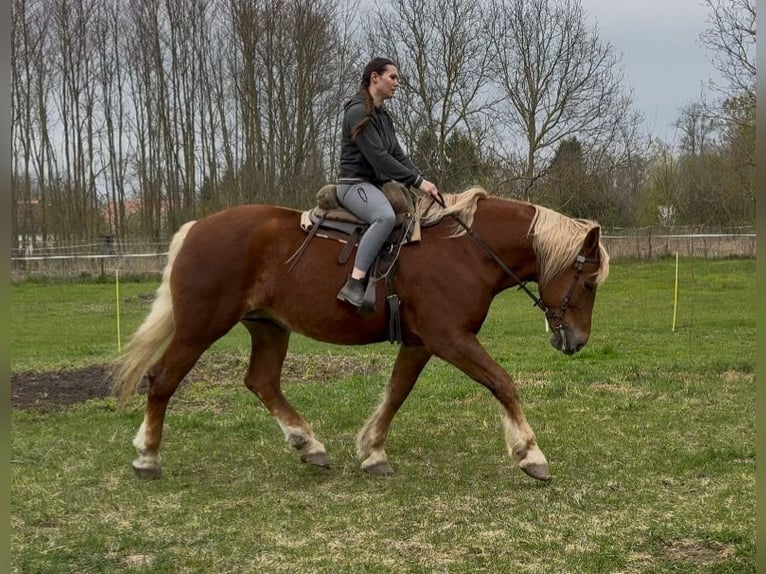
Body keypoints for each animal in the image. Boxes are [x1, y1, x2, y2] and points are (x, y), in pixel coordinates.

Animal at [112, 187, 610, 482]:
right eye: (588, 283)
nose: (577, 340)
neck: (466, 250)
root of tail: (196, 229)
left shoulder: (421, 343)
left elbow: (395, 393)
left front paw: (372, 450)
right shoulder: (450, 339)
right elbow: (502, 383)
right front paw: (530, 453)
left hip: (269, 328)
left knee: (262, 382)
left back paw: (307, 443)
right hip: (200, 327)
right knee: (162, 380)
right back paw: (148, 456)